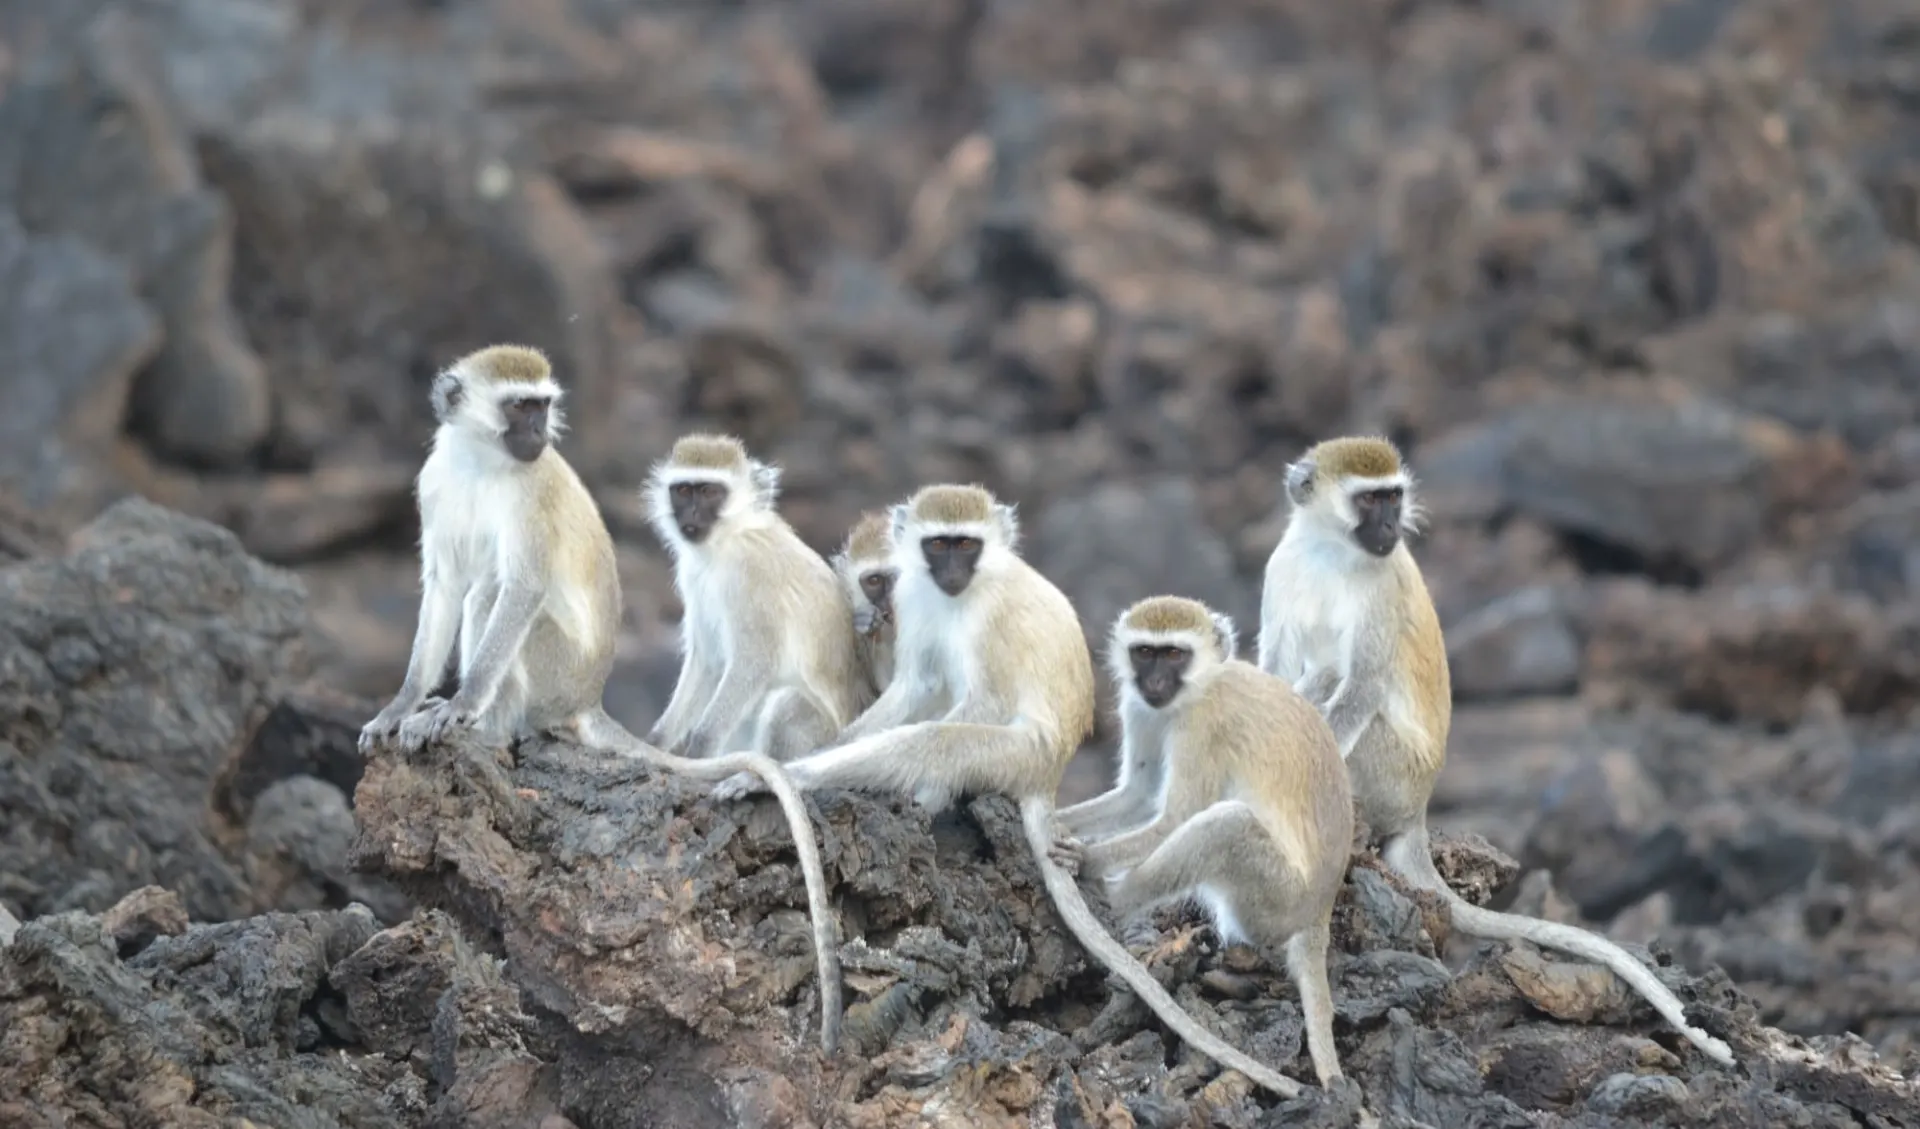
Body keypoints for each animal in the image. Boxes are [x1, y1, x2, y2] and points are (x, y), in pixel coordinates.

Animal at [355, 347, 844, 1054]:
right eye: (519, 406)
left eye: (541, 406)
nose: (537, 434)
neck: (481, 462)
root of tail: (587, 698)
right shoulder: (436, 481)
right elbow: (443, 582)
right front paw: (401, 705)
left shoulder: (529, 499)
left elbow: (520, 587)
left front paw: (459, 705)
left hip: (553, 672)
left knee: (492, 592)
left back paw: (488, 728)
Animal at [643, 435, 869, 763]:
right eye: (683, 490)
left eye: (710, 491)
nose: (691, 515)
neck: (725, 543)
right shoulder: (692, 574)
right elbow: (709, 661)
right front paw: (655, 743)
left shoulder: (751, 573)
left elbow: (754, 662)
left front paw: (699, 751)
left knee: (784, 707)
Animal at [1064, 596, 1353, 1088]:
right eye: (1145, 652)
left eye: (1174, 654)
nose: (1155, 682)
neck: (1202, 685)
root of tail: (1317, 913)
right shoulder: (1141, 707)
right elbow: (1138, 794)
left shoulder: (1204, 725)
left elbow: (1176, 817)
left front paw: (1086, 859)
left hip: (1273, 902)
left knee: (1224, 825)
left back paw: (1110, 901)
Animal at [1256, 435, 1737, 1068]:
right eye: (1369, 500)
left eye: (1392, 497)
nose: (1391, 526)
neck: (1327, 553)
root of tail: (1418, 807)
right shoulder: (1282, 570)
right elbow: (1271, 676)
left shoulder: (1380, 593)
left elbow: (1359, 685)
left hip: (1387, 771)